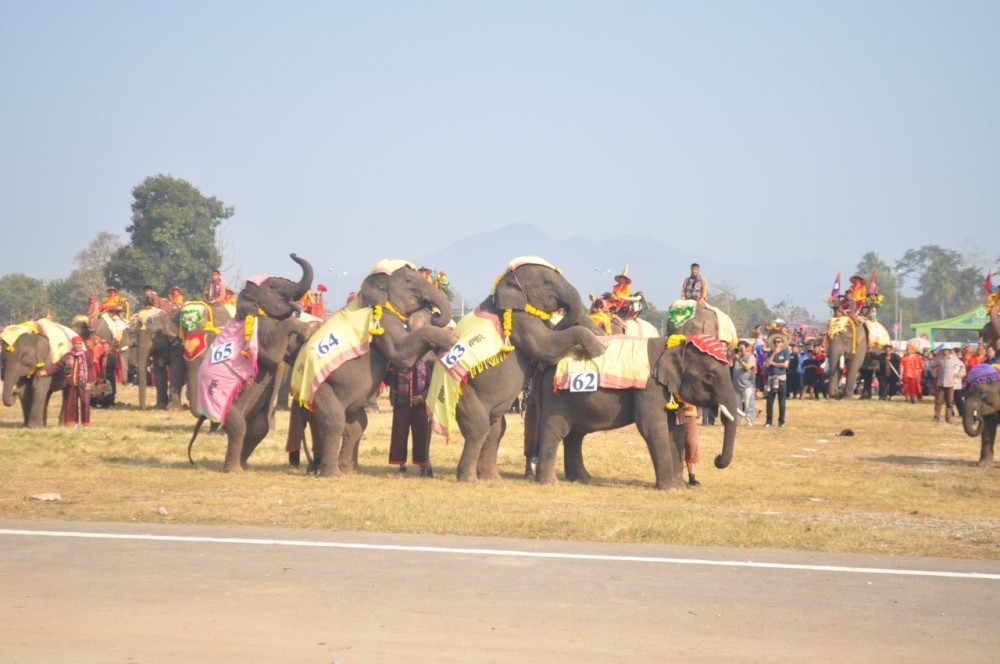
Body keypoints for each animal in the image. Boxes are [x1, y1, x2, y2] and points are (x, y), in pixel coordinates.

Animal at [292, 260, 458, 478]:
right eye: (409, 280)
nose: (436, 313)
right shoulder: (384, 319)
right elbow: (401, 354)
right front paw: (451, 339)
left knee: (357, 425)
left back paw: (351, 470)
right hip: (322, 388)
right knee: (334, 422)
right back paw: (333, 474)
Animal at [428, 255, 604, 482]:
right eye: (548, 282)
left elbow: (550, 337)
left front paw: (597, 333)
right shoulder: (520, 321)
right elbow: (546, 347)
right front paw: (598, 349)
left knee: (495, 430)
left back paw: (491, 478)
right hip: (465, 396)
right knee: (478, 430)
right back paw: (469, 479)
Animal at [532, 338, 744, 488]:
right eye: (709, 377)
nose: (717, 458)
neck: (674, 346)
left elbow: (675, 429)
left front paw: (681, 486)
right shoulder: (650, 387)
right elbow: (652, 427)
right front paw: (670, 489)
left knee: (576, 436)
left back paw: (583, 479)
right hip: (556, 398)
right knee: (555, 432)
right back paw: (550, 483)